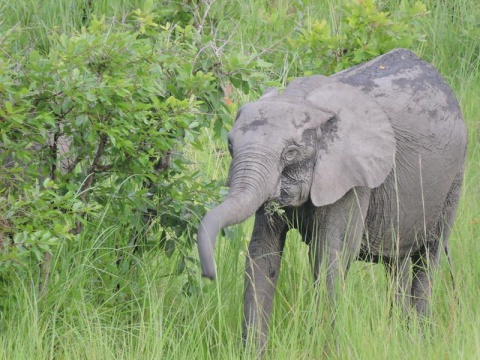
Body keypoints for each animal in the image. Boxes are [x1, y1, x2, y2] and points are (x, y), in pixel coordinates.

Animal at [197, 48, 466, 348]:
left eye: (290, 153)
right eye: (230, 146)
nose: (209, 274)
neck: (306, 102)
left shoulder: (352, 178)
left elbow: (328, 256)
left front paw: (324, 349)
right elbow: (261, 256)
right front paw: (252, 351)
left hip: (454, 180)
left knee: (428, 257)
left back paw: (418, 340)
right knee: (398, 262)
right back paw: (398, 337)